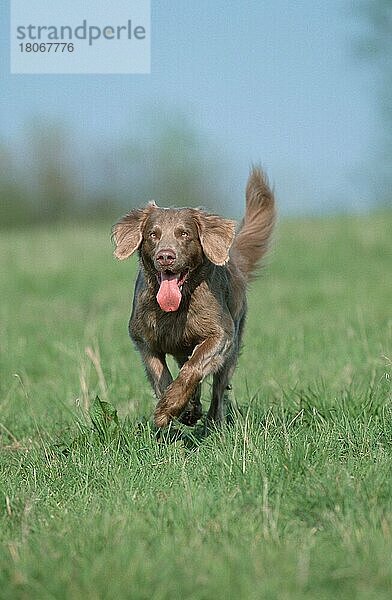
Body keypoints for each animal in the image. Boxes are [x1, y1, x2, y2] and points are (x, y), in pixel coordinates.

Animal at [112, 168, 274, 426]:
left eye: (184, 234)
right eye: (153, 234)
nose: (165, 256)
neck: (177, 309)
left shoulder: (220, 335)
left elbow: (193, 369)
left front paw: (169, 406)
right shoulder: (144, 341)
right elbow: (161, 377)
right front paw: (175, 407)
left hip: (232, 348)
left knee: (218, 389)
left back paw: (212, 422)